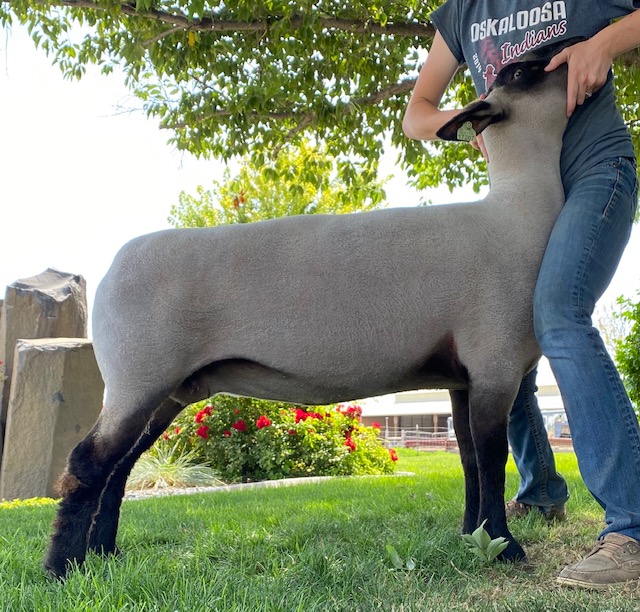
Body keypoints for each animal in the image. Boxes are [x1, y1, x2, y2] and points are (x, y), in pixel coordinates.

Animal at [44, 38, 576, 579]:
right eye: (523, 71)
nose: (571, 47)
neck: (517, 216)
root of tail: (111, 269)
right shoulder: (494, 366)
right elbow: (491, 460)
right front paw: (506, 548)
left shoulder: (462, 377)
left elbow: (468, 459)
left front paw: (473, 537)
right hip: (139, 375)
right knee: (90, 462)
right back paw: (62, 569)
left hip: (170, 387)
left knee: (119, 466)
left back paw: (104, 553)